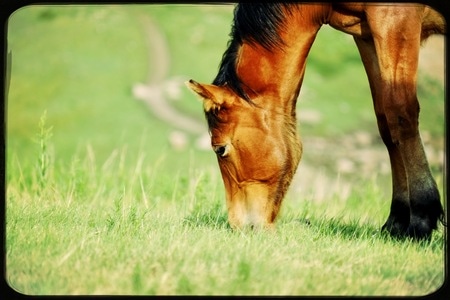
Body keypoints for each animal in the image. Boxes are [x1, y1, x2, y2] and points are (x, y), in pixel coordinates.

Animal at [185, 2, 444, 239]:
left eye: (220, 149)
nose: (241, 226)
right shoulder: (368, 35)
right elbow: (386, 124)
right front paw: (396, 222)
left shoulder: (395, 19)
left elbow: (400, 113)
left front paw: (421, 219)